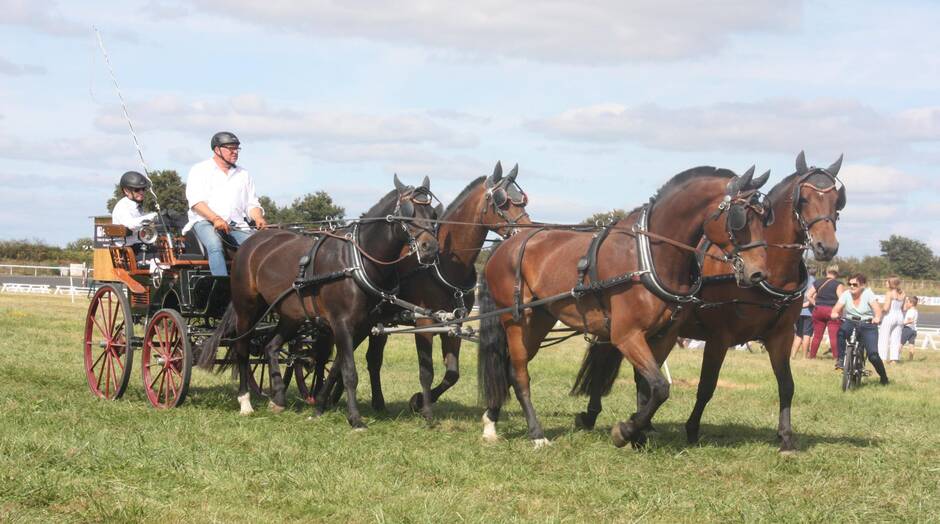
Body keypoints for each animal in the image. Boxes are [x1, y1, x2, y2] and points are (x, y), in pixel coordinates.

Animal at [199, 176, 440, 430]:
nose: (430, 248)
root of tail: (248, 245)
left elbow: (336, 368)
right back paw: (245, 402)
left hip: (290, 315)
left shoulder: (364, 326)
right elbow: (349, 371)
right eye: (408, 212)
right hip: (248, 308)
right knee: (242, 350)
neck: (357, 261)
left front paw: (319, 407)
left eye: (433, 213)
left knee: (271, 346)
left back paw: (278, 398)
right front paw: (355, 419)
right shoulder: (341, 323)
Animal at [356, 161, 532, 422]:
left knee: (373, 359)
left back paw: (377, 403)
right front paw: (426, 410)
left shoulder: (453, 324)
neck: (444, 266)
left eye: (522, 200)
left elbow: (452, 373)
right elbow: (426, 370)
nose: (526, 230)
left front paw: (418, 401)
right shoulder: (424, 322)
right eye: (501, 201)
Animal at [478, 166, 772, 448]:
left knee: (510, 366)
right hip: (515, 320)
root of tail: (504, 246)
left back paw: (491, 421)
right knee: (518, 374)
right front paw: (625, 431)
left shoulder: (664, 336)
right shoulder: (626, 335)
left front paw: (638, 434)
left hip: (540, 320)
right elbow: (660, 387)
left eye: (765, 218)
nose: (758, 273)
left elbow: (647, 387)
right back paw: (536, 434)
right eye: (740, 218)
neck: (649, 257)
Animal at [572, 152, 844, 454]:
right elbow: (707, 386)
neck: (772, 273)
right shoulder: (719, 337)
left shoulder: (781, 336)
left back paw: (643, 424)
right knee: (606, 365)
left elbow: (786, 385)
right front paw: (691, 429)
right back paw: (595, 414)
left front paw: (785, 438)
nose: (827, 247)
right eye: (803, 199)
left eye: (837, 200)